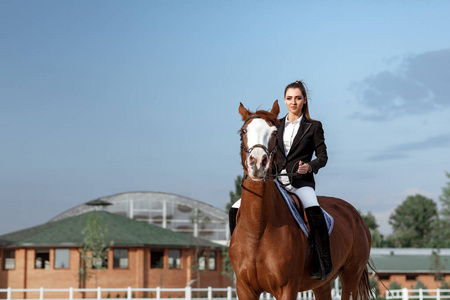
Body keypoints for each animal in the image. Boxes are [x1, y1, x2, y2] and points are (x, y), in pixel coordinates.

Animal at [229, 100, 372, 300]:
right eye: (243, 131)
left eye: (274, 133)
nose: (257, 163)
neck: (257, 228)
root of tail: (354, 214)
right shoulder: (244, 288)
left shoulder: (287, 288)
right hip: (322, 285)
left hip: (351, 275)